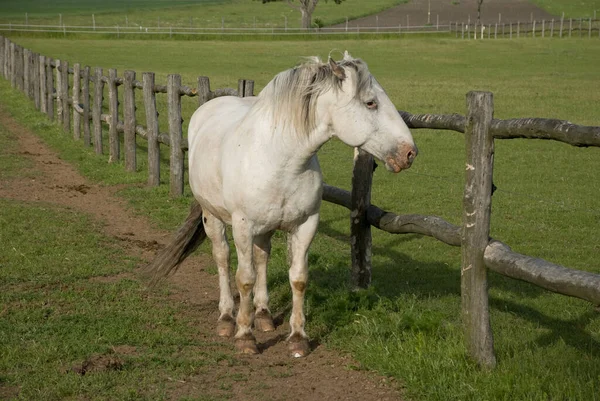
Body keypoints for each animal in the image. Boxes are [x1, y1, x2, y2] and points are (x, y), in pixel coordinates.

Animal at [146, 52, 418, 356]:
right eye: (370, 102)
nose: (409, 152)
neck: (280, 157)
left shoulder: (305, 225)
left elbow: (297, 278)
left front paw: (298, 338)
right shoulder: (242, 226)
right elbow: (245, 278)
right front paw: (245, 336)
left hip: (265, 227)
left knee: (262, 257)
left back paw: (263, 315)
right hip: (212, 217)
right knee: (222, 259)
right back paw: (227, 318)